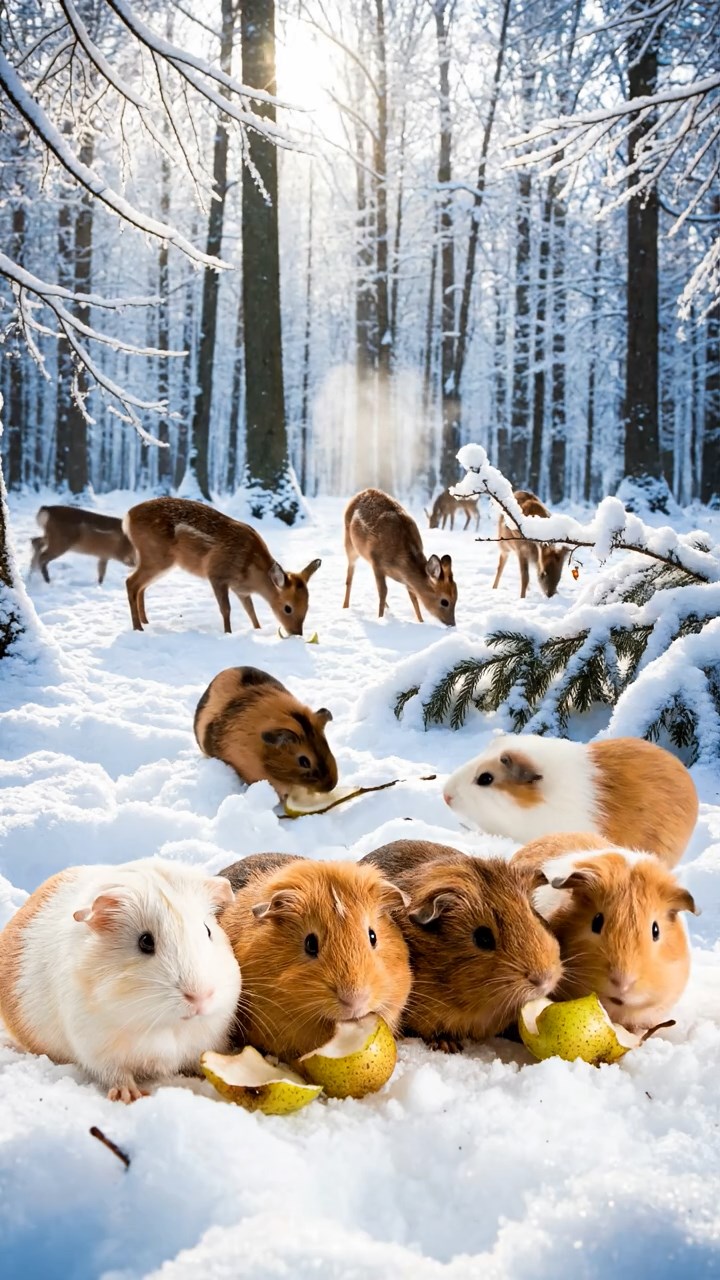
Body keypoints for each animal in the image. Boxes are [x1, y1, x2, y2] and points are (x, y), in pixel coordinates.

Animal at [122, 497, 321, 635]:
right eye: (288, 608)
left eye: (307, 605)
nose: (296, 633)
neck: (251, 571)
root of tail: (128, 516)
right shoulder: (217, 574)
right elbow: (226, 609)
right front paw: (228, 633)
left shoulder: (241, 590)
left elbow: (251, 611)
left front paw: (257, 629)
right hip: (156, 556)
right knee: (131, 582)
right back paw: (138, 628)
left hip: (158, 562)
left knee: (141, 587)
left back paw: (146, 622)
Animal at [343, 488, 457, 625]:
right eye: (445, 602)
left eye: (456, 598)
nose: (452, 623)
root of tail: (363, 491)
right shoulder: (377, 562)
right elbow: (383, 592)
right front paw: (380, 618)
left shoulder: (405, 580)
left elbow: (413, 596)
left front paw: (421, 621)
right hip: (350, 544)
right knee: (349, 577)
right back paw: (345, 607)